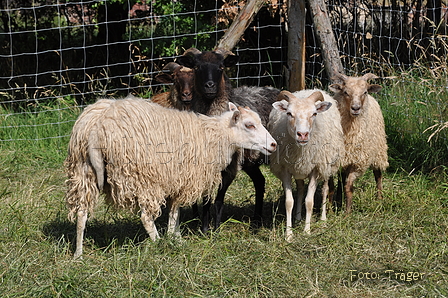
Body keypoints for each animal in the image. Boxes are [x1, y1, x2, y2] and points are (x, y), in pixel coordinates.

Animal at [65, 98, 278, 258]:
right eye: (249, 125)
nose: (274, 145)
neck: (217, 136)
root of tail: (98, 126)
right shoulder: (183, 178)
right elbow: (175, 212)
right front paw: (174, 238)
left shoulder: (176, 179)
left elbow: (175, 211)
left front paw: (176, 237)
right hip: (142, 176)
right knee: (145, 217)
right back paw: (159, 243)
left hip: (84, 172)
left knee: (81, 213)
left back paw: (78, 254)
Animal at [268, 89, 344, 240]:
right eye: (289, 113)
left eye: (314, 114)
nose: (302, 135)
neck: (301, 150)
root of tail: (307, 90)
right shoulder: (285, 169)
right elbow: (289, 201)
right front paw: (289, 234)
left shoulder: (315, 169)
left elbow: (309, 201)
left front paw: (307, 231)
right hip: (299, 170)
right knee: (301, 189)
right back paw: (297, 218)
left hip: (326, 165)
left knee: (325, 189)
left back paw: (323, 219)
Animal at [328, 73, 388, 213]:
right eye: (345, 92)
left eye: (364, 92)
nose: (356, 108)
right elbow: (332, 187)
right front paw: (330, 210)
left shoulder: (357, 162)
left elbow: (349, 188)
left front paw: (347, 213)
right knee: (341, 178)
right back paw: (339, 200)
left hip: (378, 149)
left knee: (378, 174)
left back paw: (379, 198)